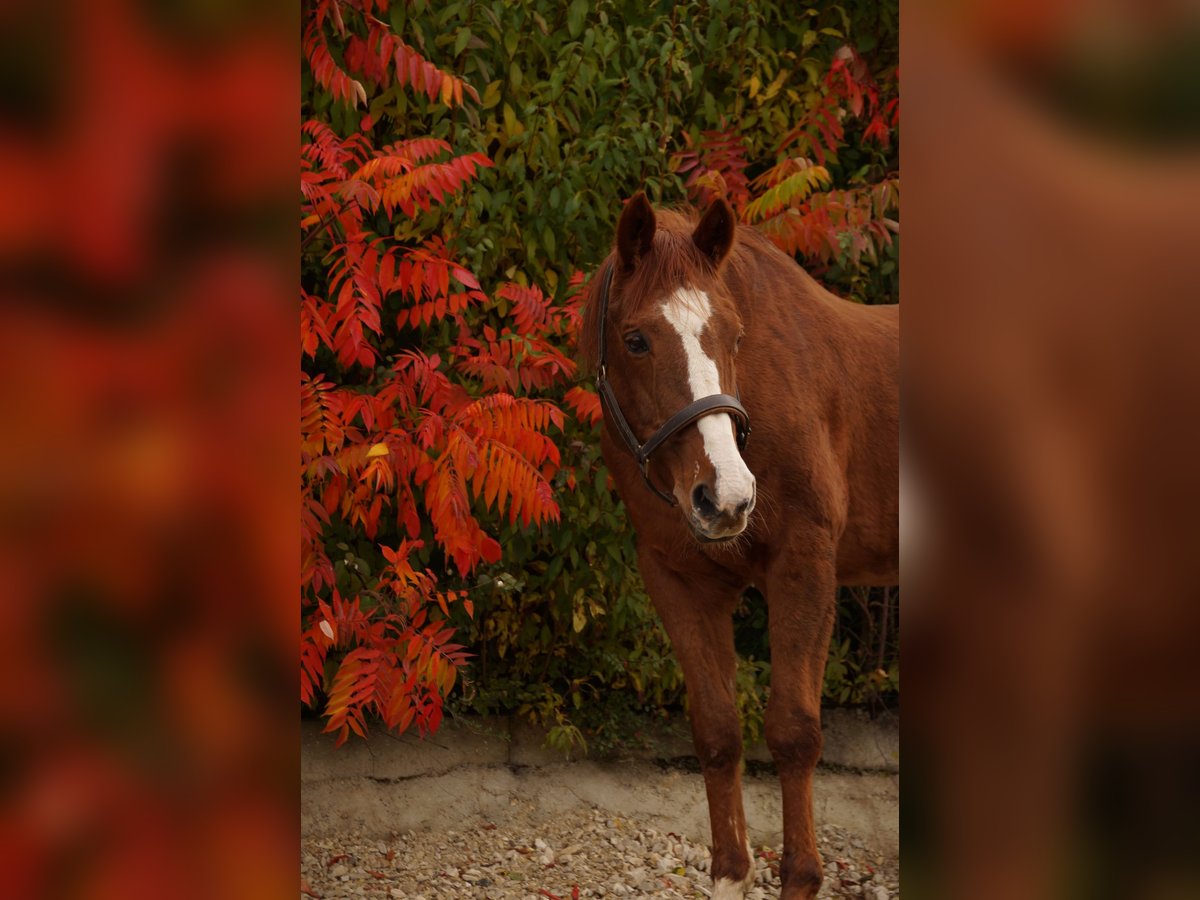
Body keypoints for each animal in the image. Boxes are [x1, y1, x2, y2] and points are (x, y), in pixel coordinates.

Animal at [580, 194, 902, 897]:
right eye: (636, 339)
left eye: (733, 336)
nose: (724, 496)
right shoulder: (680, 581)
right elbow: (718, 730)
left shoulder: (804, 569)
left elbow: (794, 732)